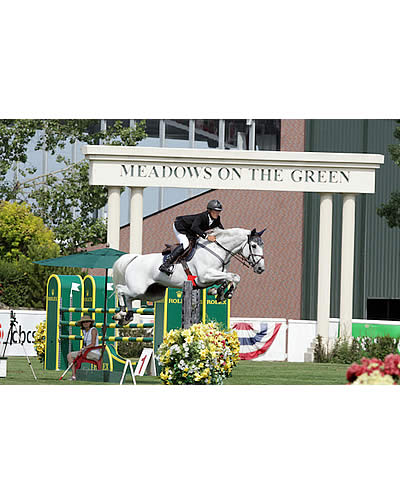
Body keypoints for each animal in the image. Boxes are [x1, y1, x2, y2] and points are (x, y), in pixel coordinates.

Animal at [111, 228, 266, 324]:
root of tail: (135, 258)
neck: (218, 250)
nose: (261, 268)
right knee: (120, 289)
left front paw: (220, 292)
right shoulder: (204, 276)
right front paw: (225, 293)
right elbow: (234, 277)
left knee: (129, 297)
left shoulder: (214, 276)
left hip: (151, 293)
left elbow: (230, 277)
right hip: (138, 288)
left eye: (261, 245)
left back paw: (127, 316)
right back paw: (121, 313)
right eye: (253, 246)